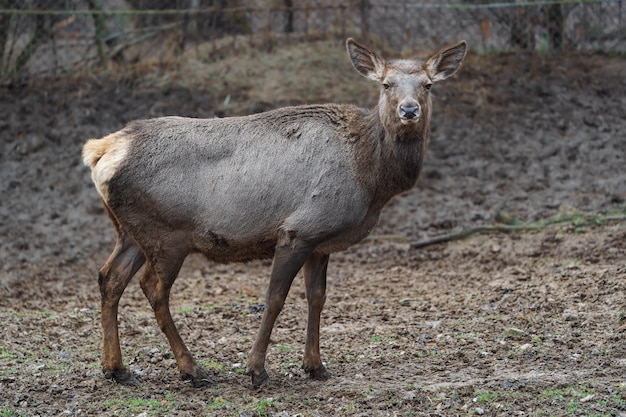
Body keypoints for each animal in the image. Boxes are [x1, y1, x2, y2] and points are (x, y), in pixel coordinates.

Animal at [81, 37, 464, 386]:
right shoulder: (299, 229)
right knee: (153, 289)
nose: (409, 110)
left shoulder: (320, 240)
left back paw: (116, 368)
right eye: (386, 84)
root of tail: (101, 151)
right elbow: (275, 298)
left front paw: (315, 366)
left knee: (109, 277)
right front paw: (256, 370)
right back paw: (191, 369)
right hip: (166, 234)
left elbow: (317, 298)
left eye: (428, 85)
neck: (372, 178)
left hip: (129, 231)